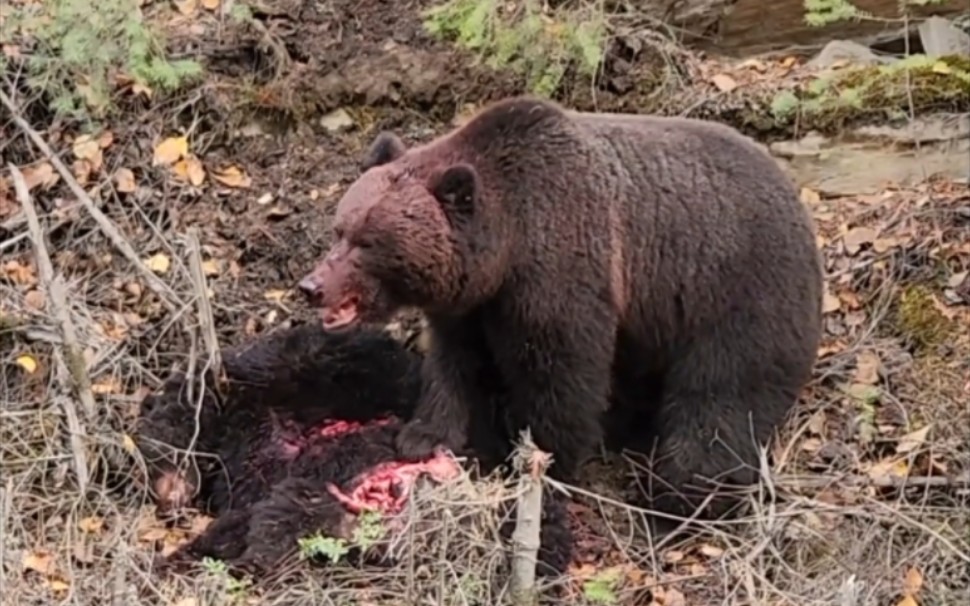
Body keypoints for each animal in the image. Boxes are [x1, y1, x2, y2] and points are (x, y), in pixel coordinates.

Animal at [296, 96, 824, 524]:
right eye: (339, 228)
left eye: (368, 241)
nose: (312, 286)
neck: (507, 246)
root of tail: (796, 198)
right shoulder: (473, 304)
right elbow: (454, 363)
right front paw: (423, 434)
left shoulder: (561, 266)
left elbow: (561, 374)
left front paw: (542, 462)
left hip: (734, 289)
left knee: (722, 395)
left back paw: (684, 493)